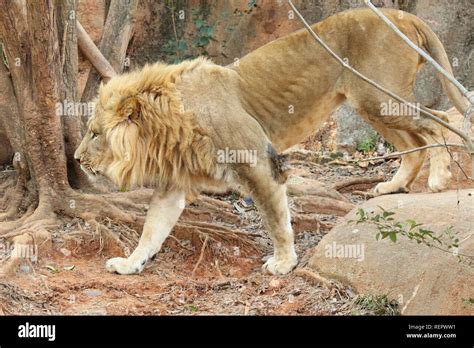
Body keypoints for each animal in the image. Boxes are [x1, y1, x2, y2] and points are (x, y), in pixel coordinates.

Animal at [76, 8, 468, 276]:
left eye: (95, 133)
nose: (77, 158)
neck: (167, 127)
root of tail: (402, 15)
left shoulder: (258, 163)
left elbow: (276, 221)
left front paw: (283, 263)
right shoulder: (173, 184)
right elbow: (151, 229)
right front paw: (128, 264)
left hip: (379, 97)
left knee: (439, 121)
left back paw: (438, 179)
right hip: (370, 103)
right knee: (413, 142)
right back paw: (392, 187)